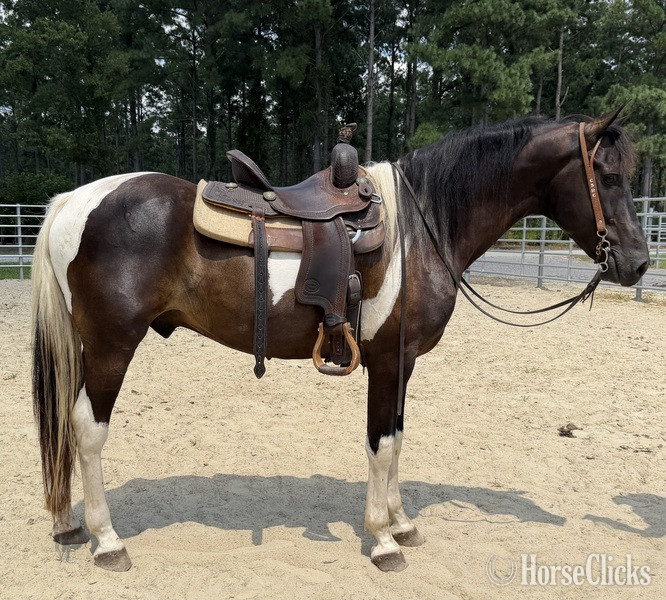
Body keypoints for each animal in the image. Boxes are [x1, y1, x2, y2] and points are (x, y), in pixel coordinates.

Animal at [31, 109, 649, 573]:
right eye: (608, 176)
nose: (640, 263)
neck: (420, 230)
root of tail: (73, 202)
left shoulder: (403, 364)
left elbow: (397, 437)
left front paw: (402, 523)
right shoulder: (389, 361)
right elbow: (380, 444)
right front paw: (382, 540)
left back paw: (69, 525)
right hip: (112, 347)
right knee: (87, 428)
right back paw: (107, 541)